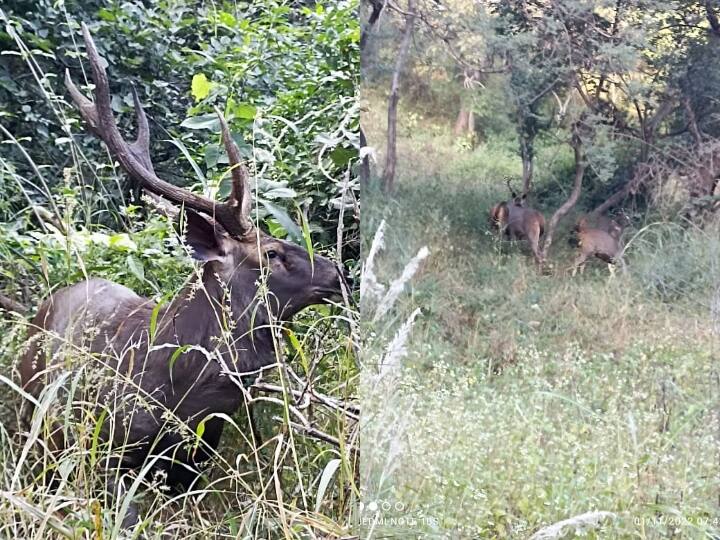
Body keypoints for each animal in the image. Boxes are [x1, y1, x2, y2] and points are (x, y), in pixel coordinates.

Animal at [17, 25, 344, 528]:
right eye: (270, 253)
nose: (338, 273)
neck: (181, 390)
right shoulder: (105, 448)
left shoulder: (196, 458)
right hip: (34, 426)